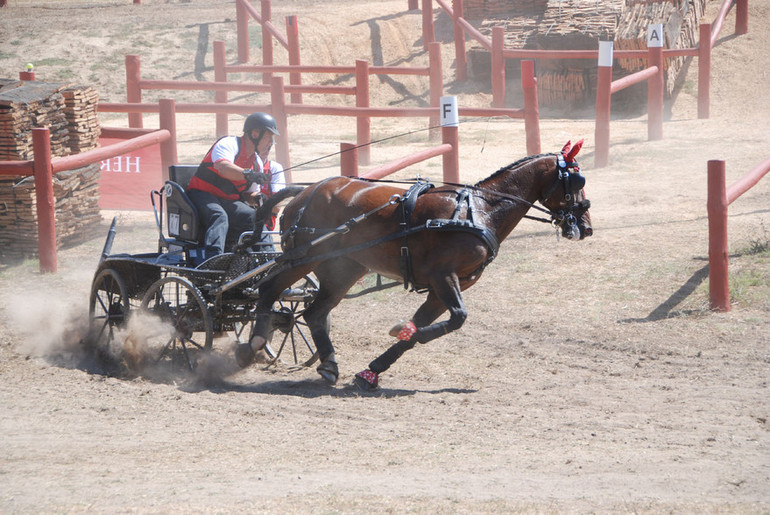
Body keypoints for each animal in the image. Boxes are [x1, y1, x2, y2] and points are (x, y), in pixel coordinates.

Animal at [237, 141, 592, 392]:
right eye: (577, 180)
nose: (586, 227)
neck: (479, 211)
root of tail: (305, 191)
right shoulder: (443, 276)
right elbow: (457, 319)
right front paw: (398, 330)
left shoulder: (443, 288)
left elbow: (421, 329)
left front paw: (372, 371)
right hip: (305, 258)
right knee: (268, 289)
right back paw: (255, 344)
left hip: (344, 269)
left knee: (314, 313)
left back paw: (328, 365)